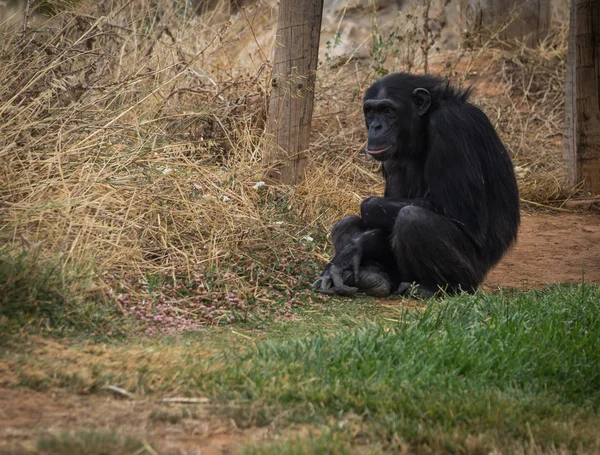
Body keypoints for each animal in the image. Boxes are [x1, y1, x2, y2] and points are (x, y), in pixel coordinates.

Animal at [314, 73, 520, 300]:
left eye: (388, 110)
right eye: (371, 111)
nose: (376, 126)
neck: (423, 126)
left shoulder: (450, 125)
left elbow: (460, 212)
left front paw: (357, 241)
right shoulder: (391, 156)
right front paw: (351, 251)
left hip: (472, 275)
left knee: (413, 219)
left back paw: (434, 288)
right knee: (347, 223)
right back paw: (373, 277)